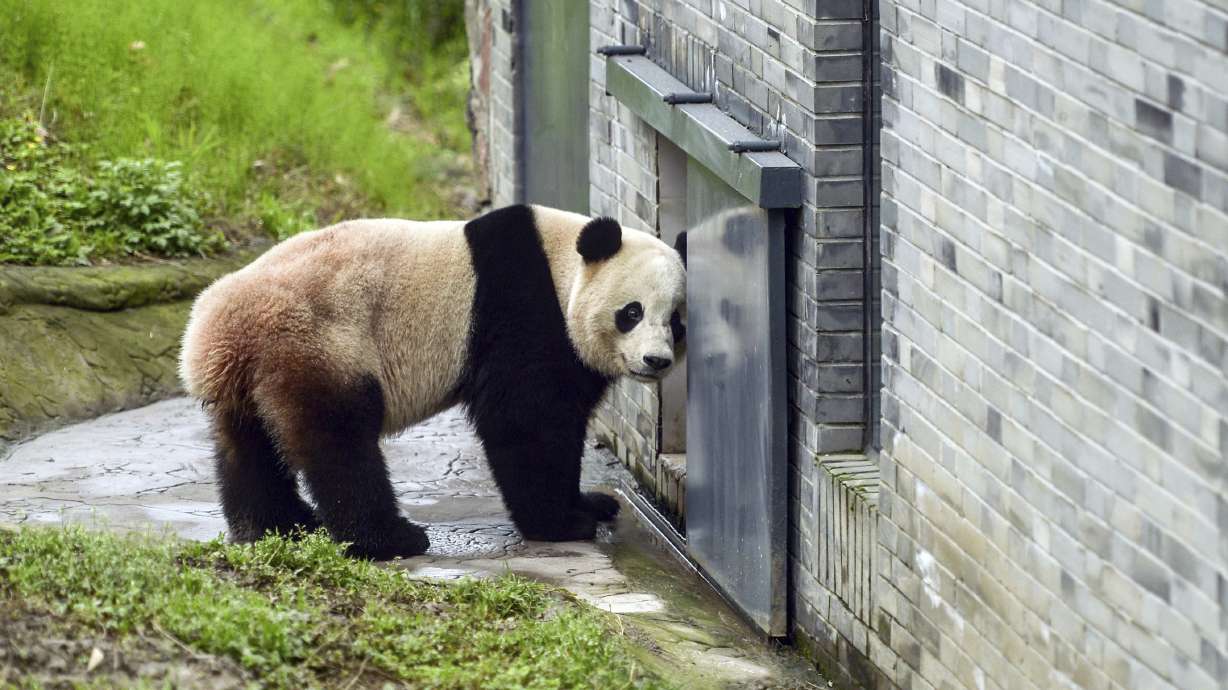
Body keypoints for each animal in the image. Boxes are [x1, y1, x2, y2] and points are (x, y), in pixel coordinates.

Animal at [179, 204, 687, 559]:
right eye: (632, 312)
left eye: (677, 321)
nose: (655, 360)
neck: (562, 265)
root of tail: (216, 332)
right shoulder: (521, 311)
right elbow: (525, 422)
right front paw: (563, 523)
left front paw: (592, 503)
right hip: (317, 343)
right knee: (339, 445)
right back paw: (389, 539)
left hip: (252, 375)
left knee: (247, 447)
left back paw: (275, 526)